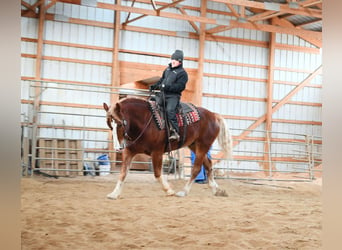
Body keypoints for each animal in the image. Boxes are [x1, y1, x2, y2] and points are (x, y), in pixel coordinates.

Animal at [103, 96, 232, 199]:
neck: (144, 121)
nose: (118, 148)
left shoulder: (157, 152)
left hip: (203, 145)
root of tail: (214, 115)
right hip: (194, 146)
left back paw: (183, 192)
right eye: (109, 124)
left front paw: (169, 190)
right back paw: (217, 190)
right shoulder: (129, 151)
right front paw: (114, 193)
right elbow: (123, 173)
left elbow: (157, 174)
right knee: (208, 165)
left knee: (196, 168)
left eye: (120, 124)